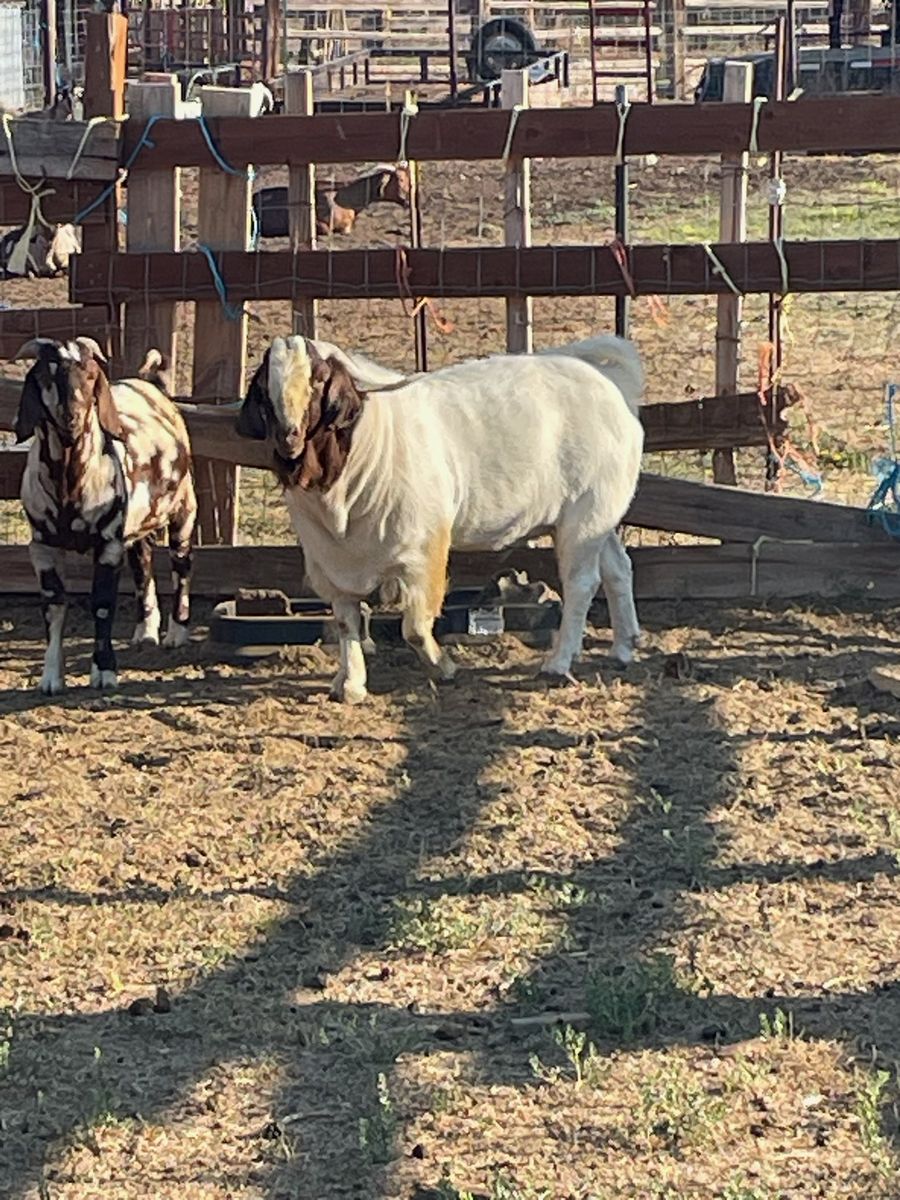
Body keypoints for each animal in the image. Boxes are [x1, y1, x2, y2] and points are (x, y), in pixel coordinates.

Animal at [14, 339, 196, 695]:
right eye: (44, 375)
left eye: (89, 375)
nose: (71, 417)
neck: (70, 486)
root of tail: (149, 382)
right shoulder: (42, 546)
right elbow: (53, 606)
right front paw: (51, 677)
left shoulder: (108, 543)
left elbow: (102, 605)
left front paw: (105, 672)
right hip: (138, 524)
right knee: (143, 564)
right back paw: (146, 632)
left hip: (183, 506)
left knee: (181, 564)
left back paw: (176, 634)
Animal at [236, 334, 644, 704]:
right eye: (265, 387)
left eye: (319, 378)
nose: (289, 438)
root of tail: (609, 383)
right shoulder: (331, 561)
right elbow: (345, 621)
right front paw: (350, 685)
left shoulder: (422, 551)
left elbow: (415, 628)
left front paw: (444, 668)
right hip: (600, 518)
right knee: (618, 570)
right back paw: (623, 648)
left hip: (584, 516)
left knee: (581, 583)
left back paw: (558, 663)